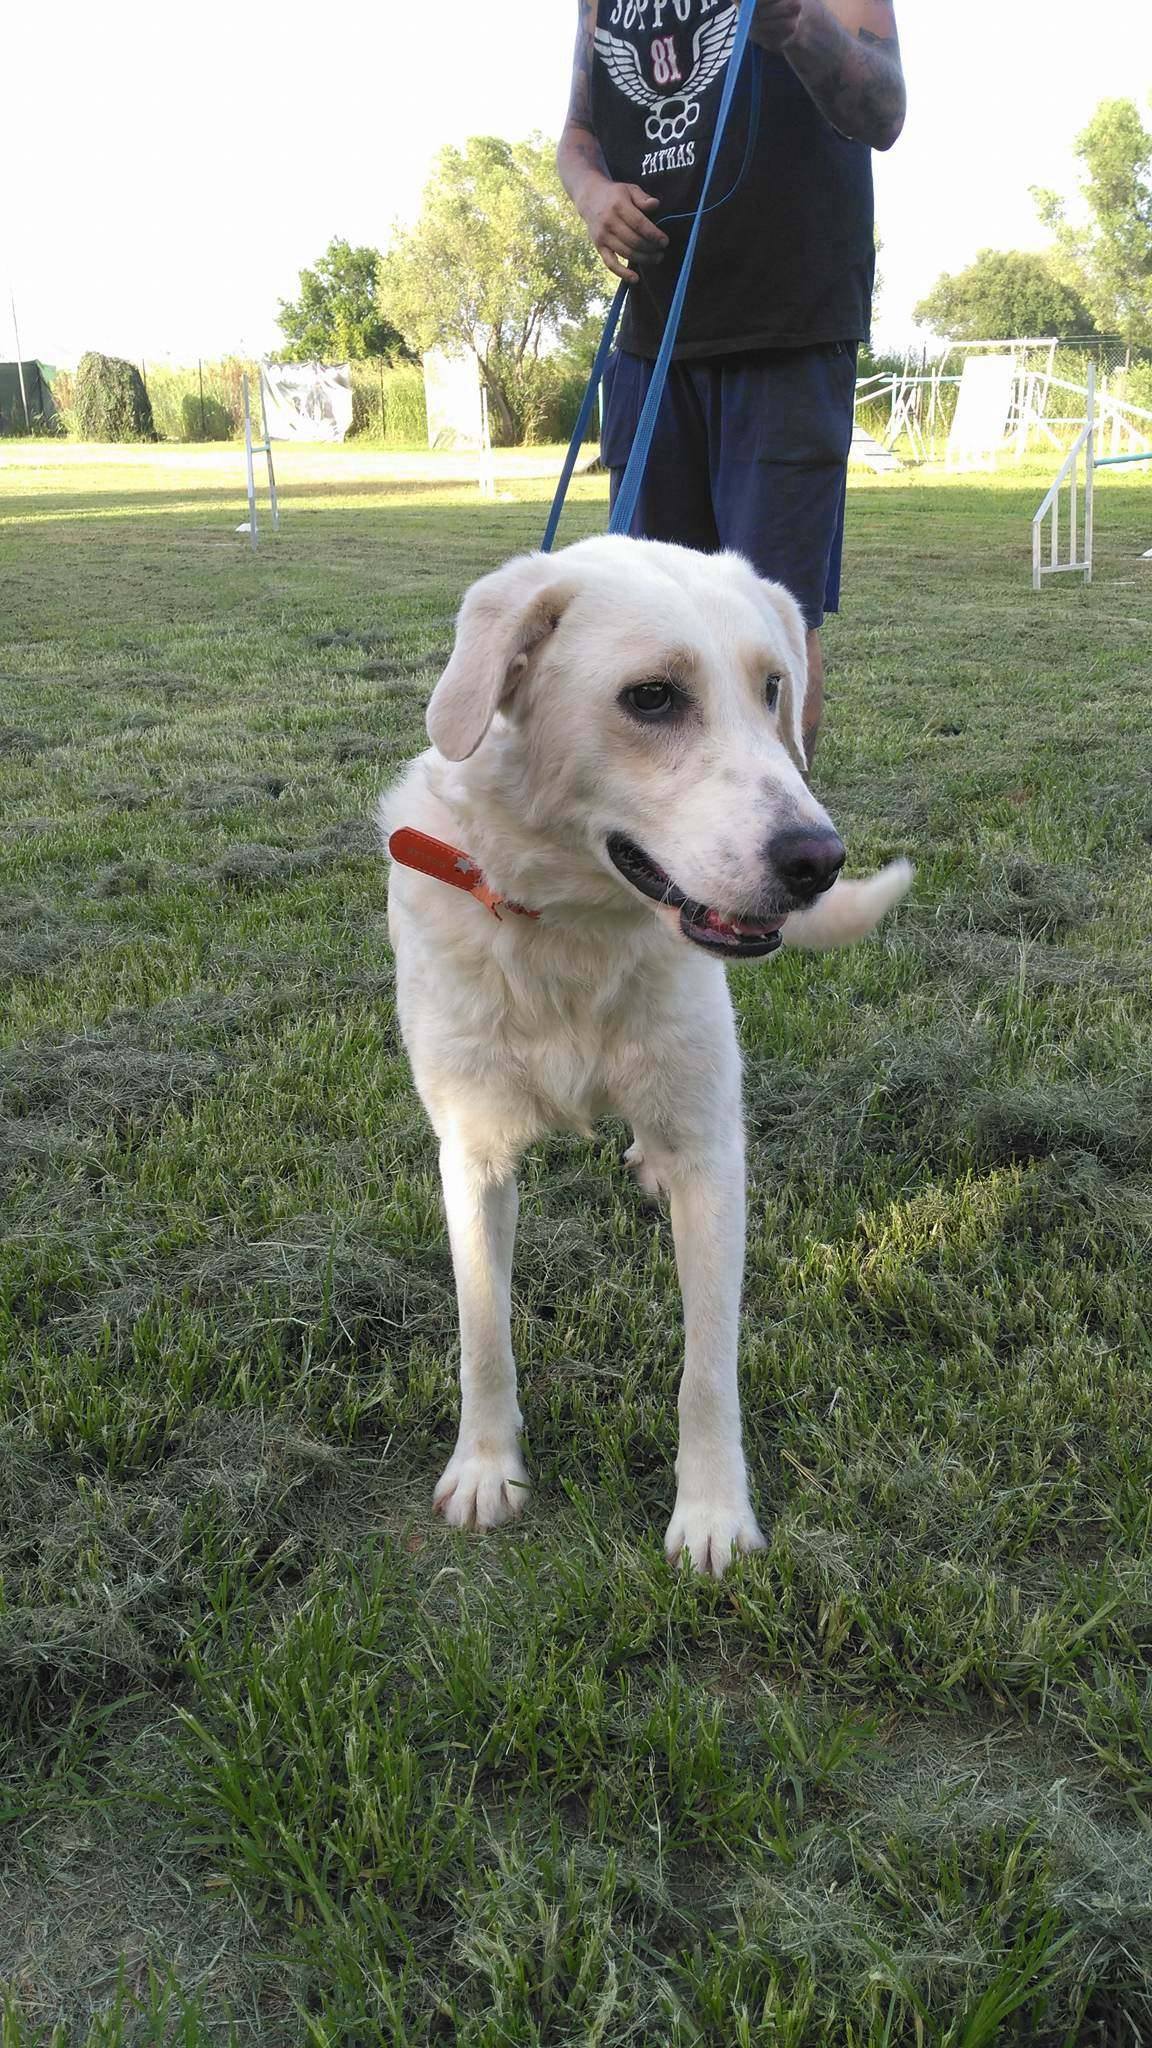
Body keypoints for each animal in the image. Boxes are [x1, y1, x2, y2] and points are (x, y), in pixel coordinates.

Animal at [377, 536, 906, 1572]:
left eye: (773, 688)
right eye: (653, 698)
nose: (818, 861)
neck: (576, 936)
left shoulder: (712, 1159)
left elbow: (708, 1369)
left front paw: (712, 1514)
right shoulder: (474, 1155)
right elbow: (483, 1332)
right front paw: (487, 1467)